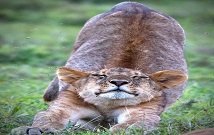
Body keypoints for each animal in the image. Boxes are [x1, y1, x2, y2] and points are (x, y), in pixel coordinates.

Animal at [11, 1, 187, 134]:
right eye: (101, 76)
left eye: (137, 77)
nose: (118, 82)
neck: (108, 105)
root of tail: (136, 4)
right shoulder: (64, 106)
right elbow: (47, 118)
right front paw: (33, 130)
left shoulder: (144, 113)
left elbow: (130, 126)